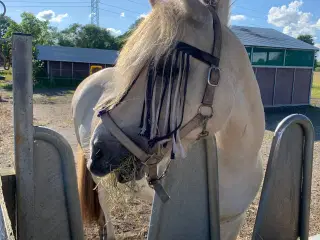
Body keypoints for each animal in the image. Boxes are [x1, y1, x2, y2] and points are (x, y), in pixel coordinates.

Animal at [72, 0, 264, 239]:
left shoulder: (234, 221)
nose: (98, 150)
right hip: (100, 182)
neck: (233, 162)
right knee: (104, 204)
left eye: (168, 68)